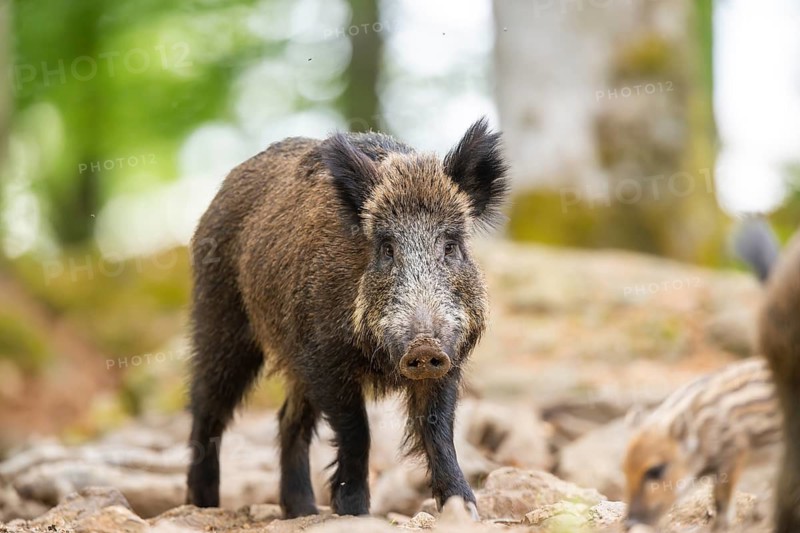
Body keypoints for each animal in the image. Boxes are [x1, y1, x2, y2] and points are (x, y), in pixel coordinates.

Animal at [185, 118, 509, 519]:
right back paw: (202, 505)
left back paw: (302, 510)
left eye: (451, 246)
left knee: (288, 419)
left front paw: (464, 510)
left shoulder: (448, 361)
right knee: (207, 408)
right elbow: (357, 431)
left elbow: (438, 430)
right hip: (220, 318)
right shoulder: (324, 356)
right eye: (386, 248)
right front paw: (353, 511)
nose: (424, 346)